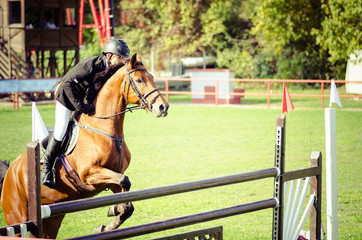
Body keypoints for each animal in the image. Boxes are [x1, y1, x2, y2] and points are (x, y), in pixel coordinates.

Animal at [0, 53, 170, 238]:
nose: (163, 107)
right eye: (139, 80)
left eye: (152, 77)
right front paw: (112, 212)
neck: (103, 128)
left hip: (52, 218)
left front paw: (108, 220)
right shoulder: (89, 174)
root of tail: (11, 171)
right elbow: (124, 181)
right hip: (17, 216)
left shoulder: (113, 177)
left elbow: (127, 202)